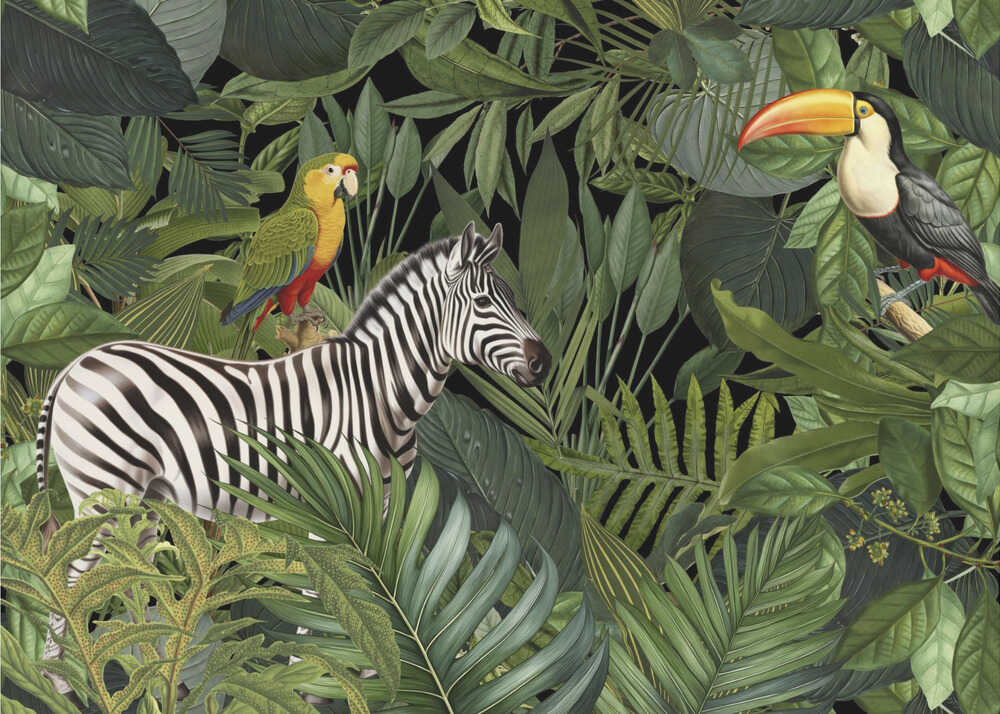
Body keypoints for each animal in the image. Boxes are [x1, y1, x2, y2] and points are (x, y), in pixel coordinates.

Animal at [34, 222, 551, 692]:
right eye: (483, 303)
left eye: (513, 299)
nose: (544, 363)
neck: (378, 393)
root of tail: (74, 365)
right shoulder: (334, 511)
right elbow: (326, 592)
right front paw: (315, 679)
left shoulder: (383, 507)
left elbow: (378, 589)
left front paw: (384, 678)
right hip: (105, 493)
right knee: (71, 582)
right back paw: (62, 685)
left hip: (141, 504)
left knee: (130, 578)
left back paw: (151, 673)